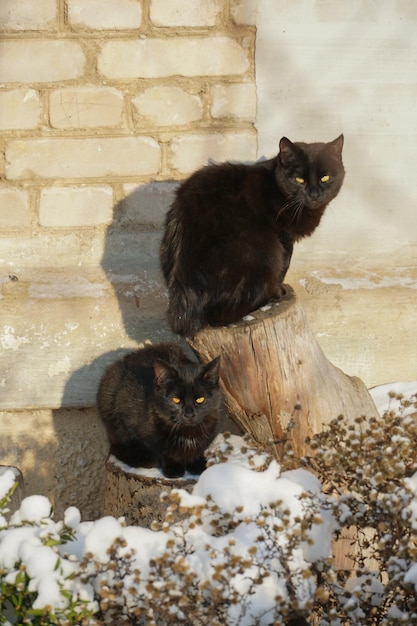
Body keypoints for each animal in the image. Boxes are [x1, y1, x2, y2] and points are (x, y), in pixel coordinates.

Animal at [96, 342, 223, 478]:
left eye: (200, 399)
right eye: (176, 400)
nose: (189, 414)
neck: (187, 432)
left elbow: (199, 449)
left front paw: (198, 465)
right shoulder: (127, 411)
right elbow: (161, 449)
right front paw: (173, 468)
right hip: (110, 391)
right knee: (118, 446)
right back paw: (146, 459)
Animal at [159, 135, 344, 334]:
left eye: (325, 178)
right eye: (299, 179)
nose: (314, 194)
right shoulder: (283, 236)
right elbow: (284, 265)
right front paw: (279, 289)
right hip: (261, 250)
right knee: (221, 315)